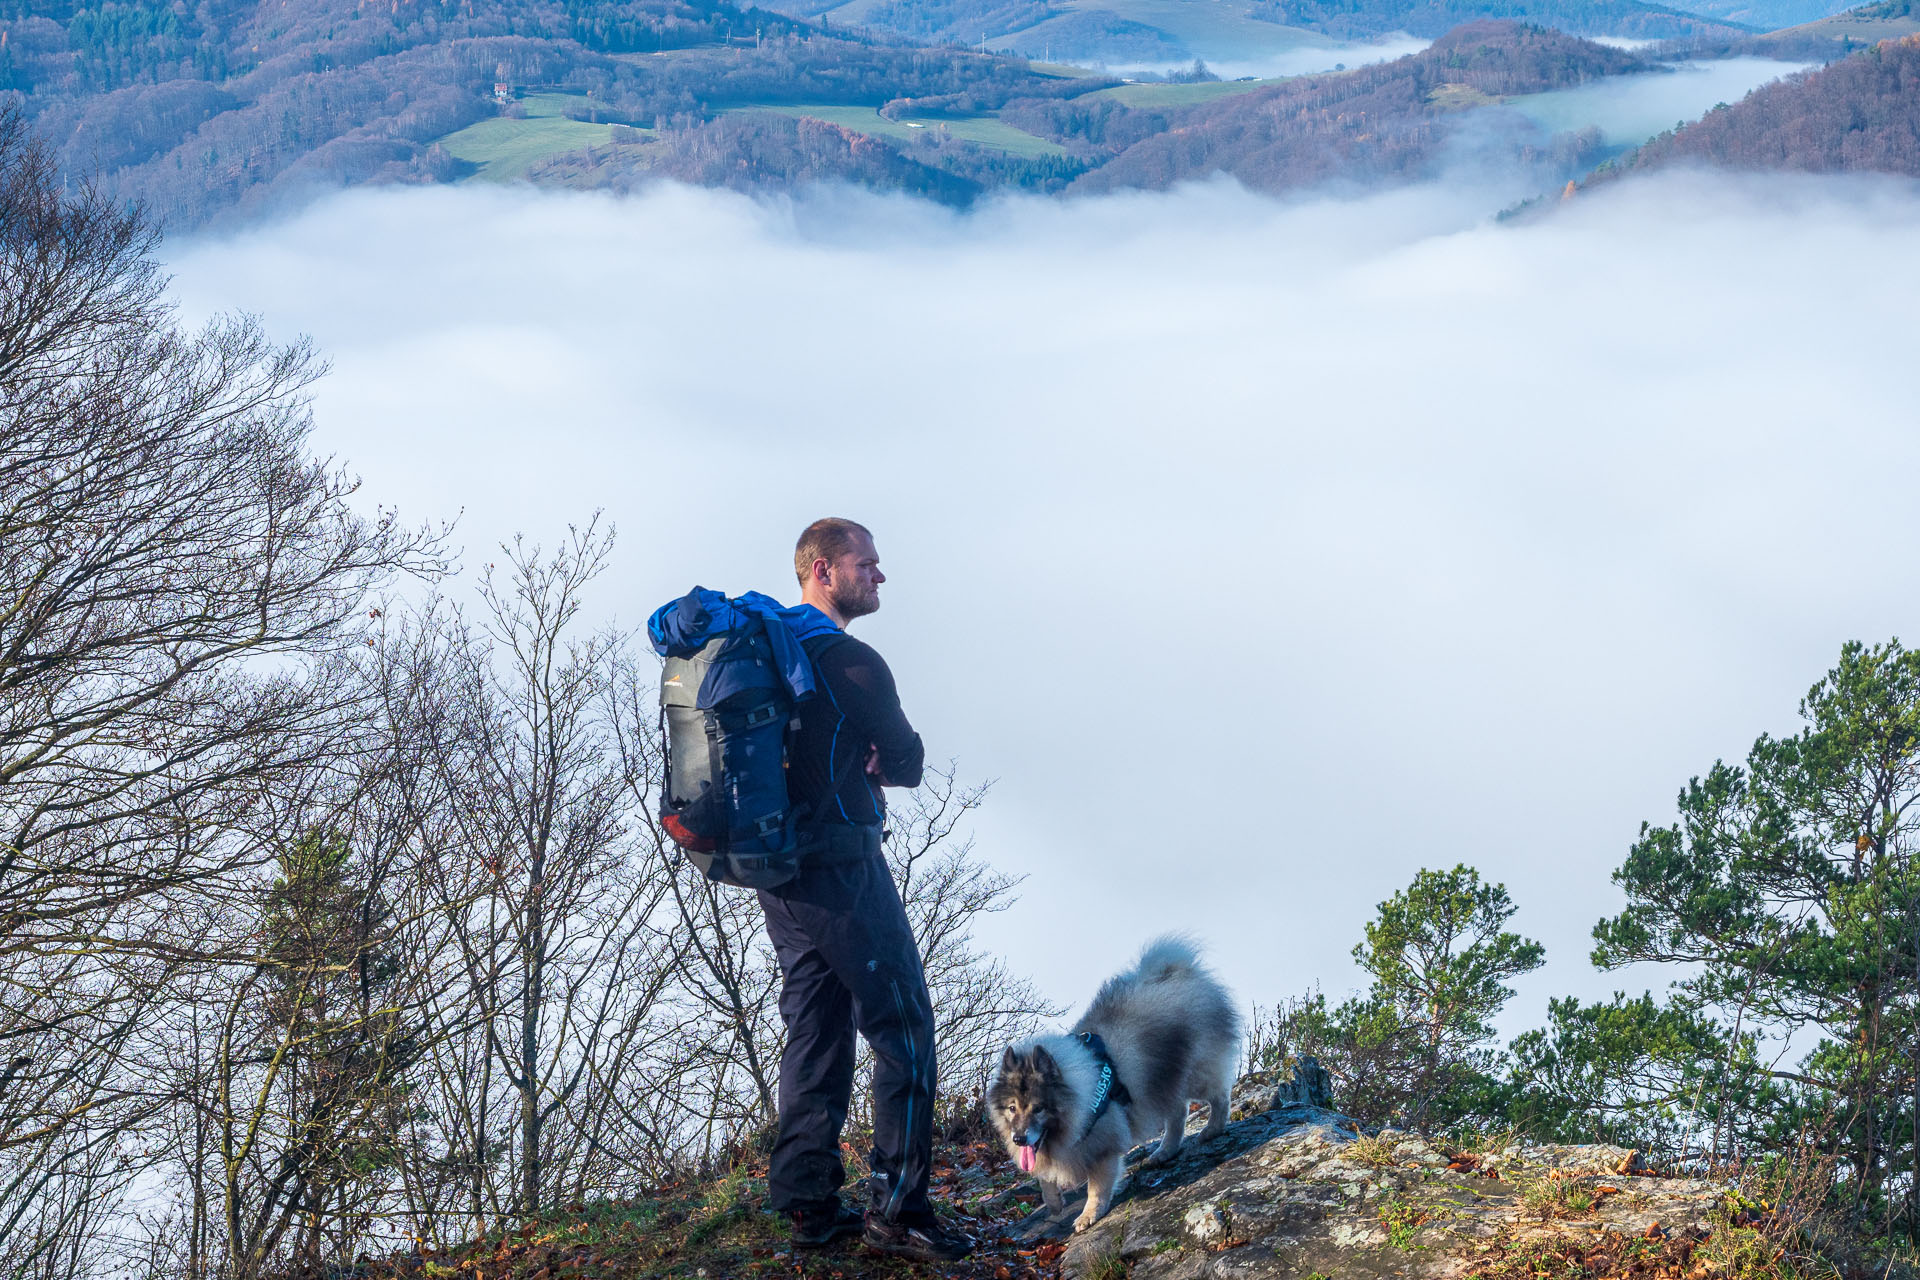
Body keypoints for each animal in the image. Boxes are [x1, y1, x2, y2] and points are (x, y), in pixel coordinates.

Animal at [983, 940, 1236, 1228]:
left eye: (1038, 1108)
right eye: (1012, 1108)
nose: (1019, 1138)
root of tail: (1177, 972)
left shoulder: (1102, 1146)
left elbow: (1097, 1186)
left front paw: (1089, 1215)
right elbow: (1043, 1177)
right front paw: (1055, 1203)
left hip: (1194, 1074)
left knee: (1219, 1096)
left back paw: (1213, 1129)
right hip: (1159, 1083)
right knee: (1178, 1114)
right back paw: (1165, 1151)